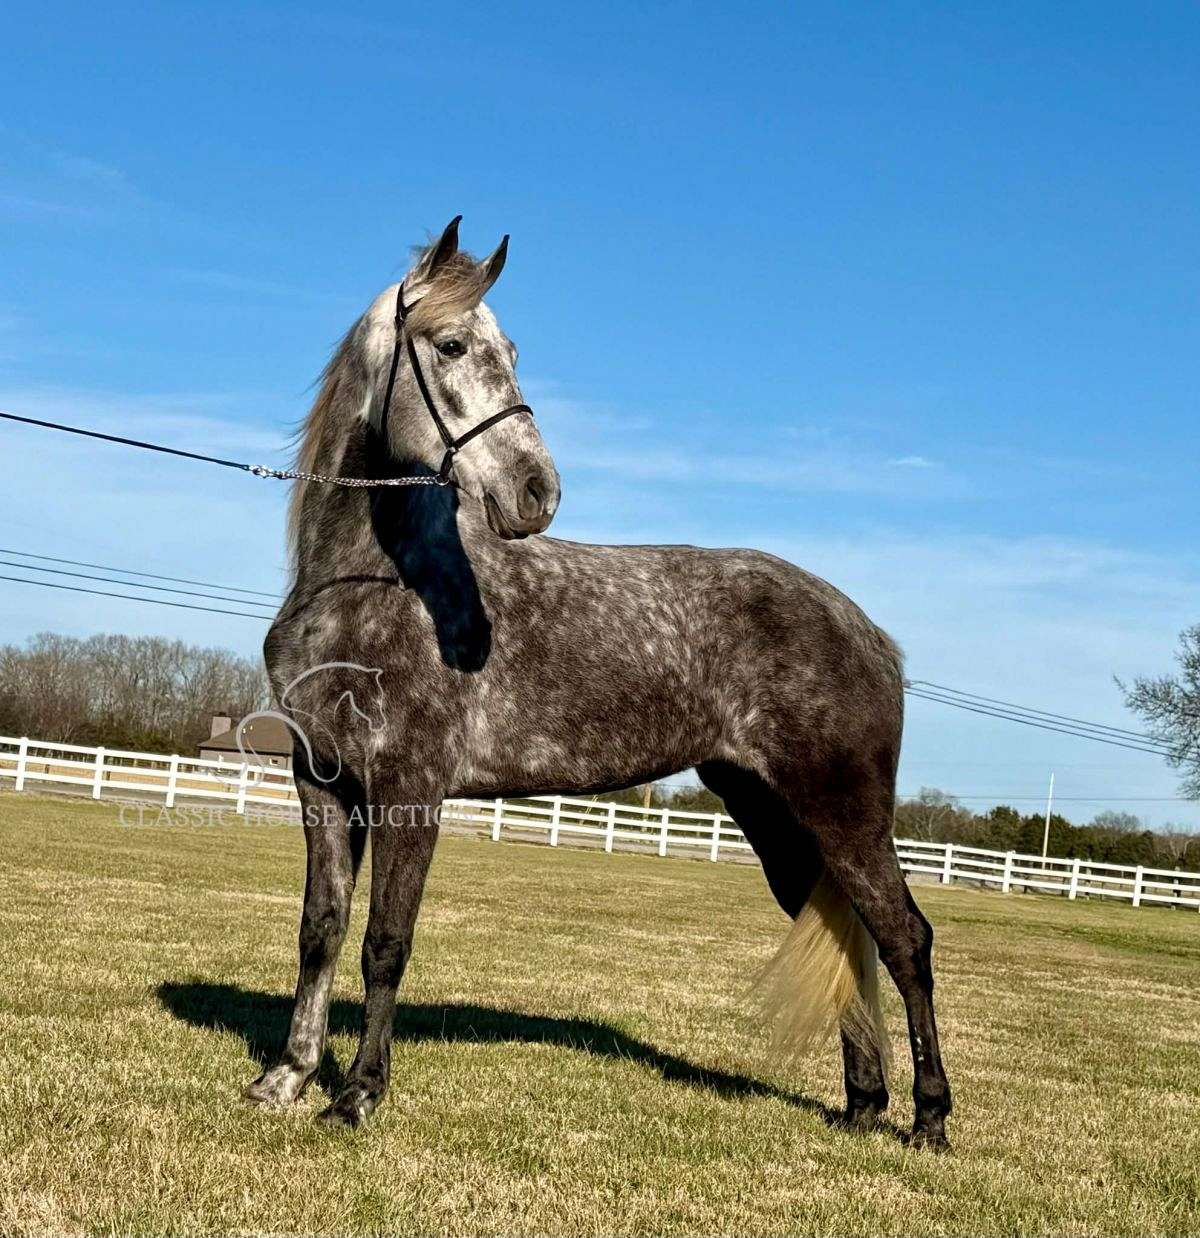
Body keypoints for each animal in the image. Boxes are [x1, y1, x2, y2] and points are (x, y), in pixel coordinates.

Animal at [247, 217, 952, 1148]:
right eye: (451, 344)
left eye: (512, 349)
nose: (536, 492)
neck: (373, 582)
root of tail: (870, 633)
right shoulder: (322, 783)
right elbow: (320, 932)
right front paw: (287, 1076)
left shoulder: (410, 790)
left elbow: (384, 943)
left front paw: (358, 1093)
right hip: (777, 819)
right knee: (854, 940)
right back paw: (864, 1105)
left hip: (847, 815)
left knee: (906, 940)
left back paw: (930, 1120)